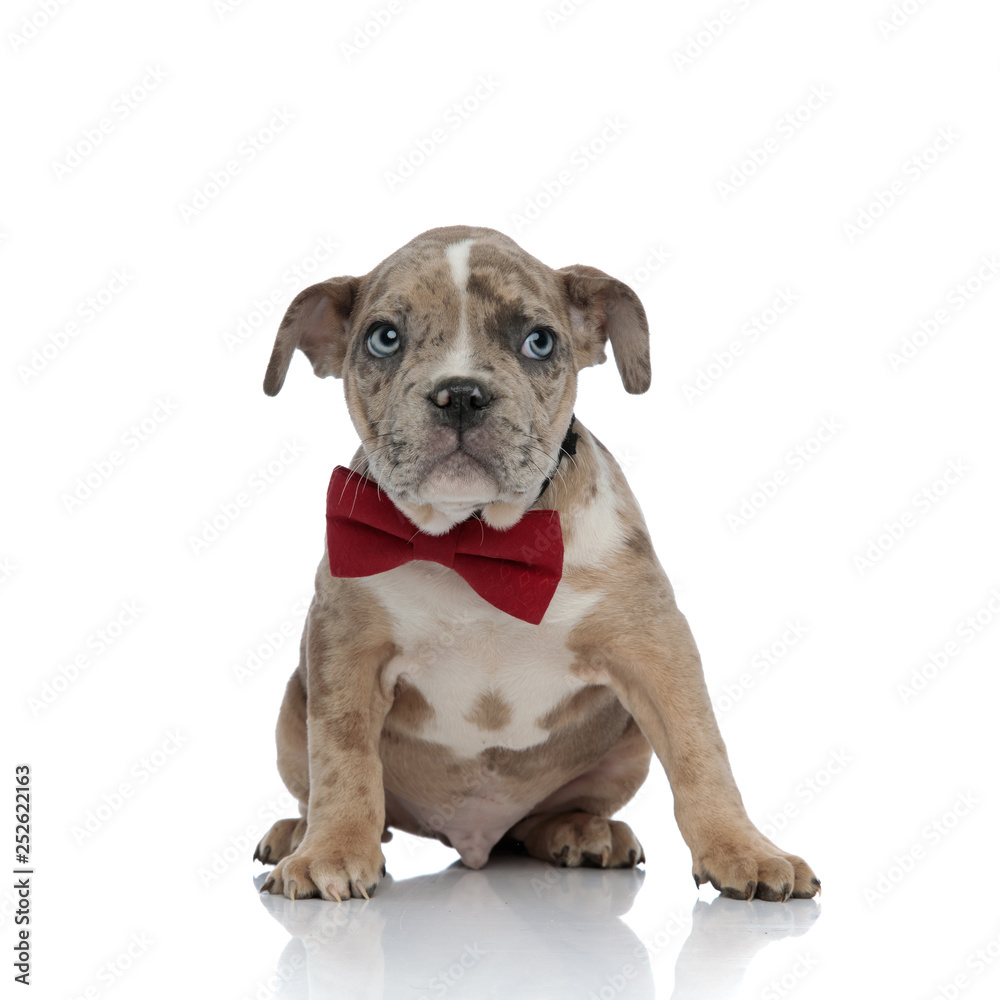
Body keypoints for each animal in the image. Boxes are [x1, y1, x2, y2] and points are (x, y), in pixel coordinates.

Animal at [256, 227, 820, 908]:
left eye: (539, 341)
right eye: (384, 338)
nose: (460, 392)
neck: (472, 539)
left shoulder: (654, 647)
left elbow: (700, 751)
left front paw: (744, 850)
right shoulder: (346, 651)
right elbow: (343, 759)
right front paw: (332, 851)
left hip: (625, 745)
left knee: (555, 814)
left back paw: (582, 832)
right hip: (292, 709)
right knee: (321, 789)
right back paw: (296, 833)